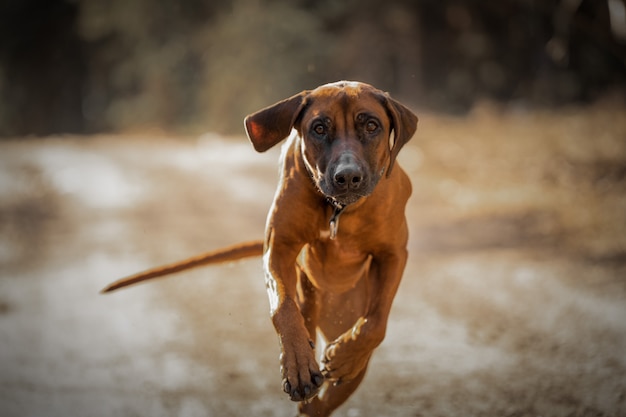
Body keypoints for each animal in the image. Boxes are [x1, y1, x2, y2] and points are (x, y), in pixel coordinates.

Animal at [101, 79, 414, 414]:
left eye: (371, 126)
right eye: (318, 128)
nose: (348, 177)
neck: (338, 210)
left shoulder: (394, 254)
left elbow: (376, 321)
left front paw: (345, 356)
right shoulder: (279, 249)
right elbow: (282, 307)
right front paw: (297, 363)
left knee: (332, 393)